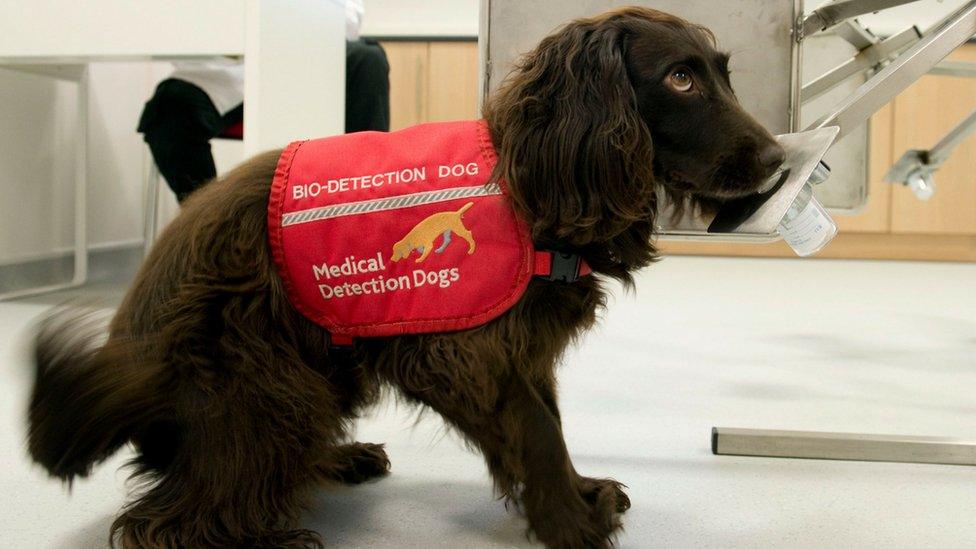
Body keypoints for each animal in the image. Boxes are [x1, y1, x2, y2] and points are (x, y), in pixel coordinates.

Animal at [26, 8, 780, 548]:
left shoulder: (517, 346)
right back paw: (266, 536)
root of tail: (128, 380)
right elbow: (537, 427)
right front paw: (568, 523)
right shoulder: (463, 347)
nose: (778, 159)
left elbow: (551, 422)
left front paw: (578, 493)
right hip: (263, 375)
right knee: (166, 518)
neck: (526, 182)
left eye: (721, 74)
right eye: (680, 79)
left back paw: (340, 459)